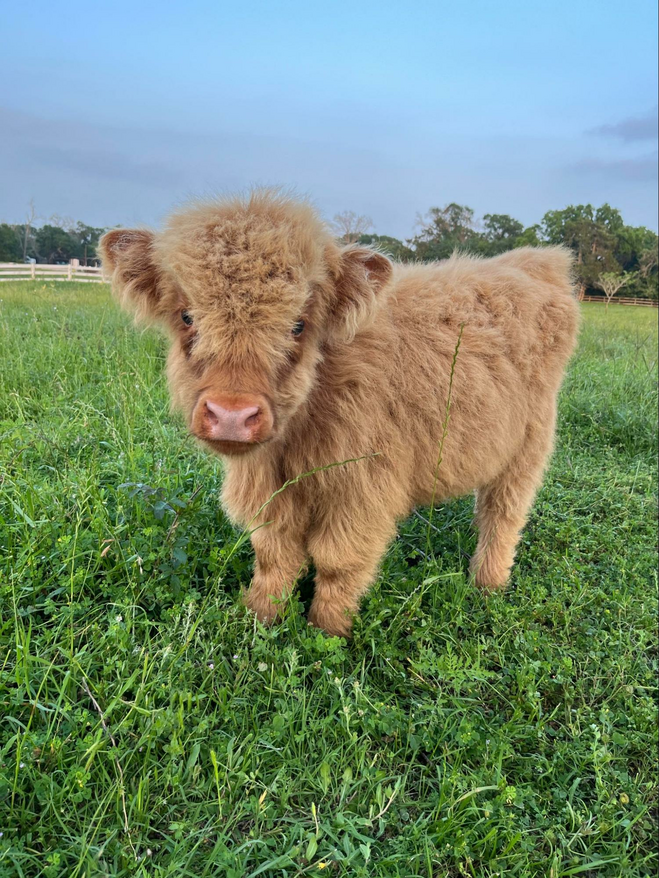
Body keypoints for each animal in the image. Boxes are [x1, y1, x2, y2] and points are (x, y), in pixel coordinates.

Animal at [100, 190, 579, 637]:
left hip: (529, 445)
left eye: (298, 325)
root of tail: (537, 261)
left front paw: (326, 633)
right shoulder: (267, 488)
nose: (232, 414)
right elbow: (273, 555)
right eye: (186, 316)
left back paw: (487, 585)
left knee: (503, 514)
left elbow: (338, 563)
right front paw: (258, 618)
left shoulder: (362, 489)